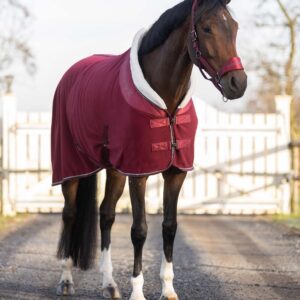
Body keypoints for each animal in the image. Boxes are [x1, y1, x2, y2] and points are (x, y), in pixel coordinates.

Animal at [52, 0, 246, 298]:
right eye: (206, 28)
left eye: (234, 27)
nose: (238, 83)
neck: (166, 103)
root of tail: (71, 74)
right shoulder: (139, 173)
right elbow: (139, 230)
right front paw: (137, 291)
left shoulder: (176, 172)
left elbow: (169, 227)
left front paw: (168, 289)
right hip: (71, 167)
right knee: (69, 214)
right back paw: (65, 280)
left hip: (114, 169)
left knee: (106, 215)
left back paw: (109, 285)